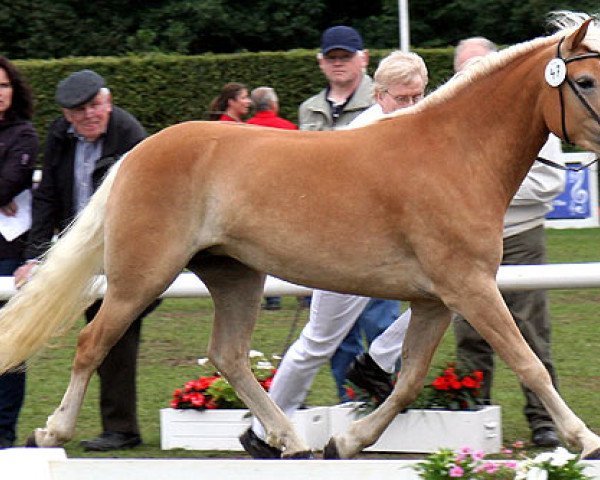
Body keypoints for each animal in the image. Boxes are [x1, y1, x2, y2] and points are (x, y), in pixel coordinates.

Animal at [1, 11, 600, 460]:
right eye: (586, 80)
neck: (455, 154)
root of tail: (135, 153)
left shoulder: (434, 299)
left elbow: (408, 380)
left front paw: (347, 440)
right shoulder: (469, 287)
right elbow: (527, 361)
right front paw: (584, 439)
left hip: (236, 276)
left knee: (228, 356)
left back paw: (287, 438)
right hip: (140, 277)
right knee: (93, 344)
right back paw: (51, 431)